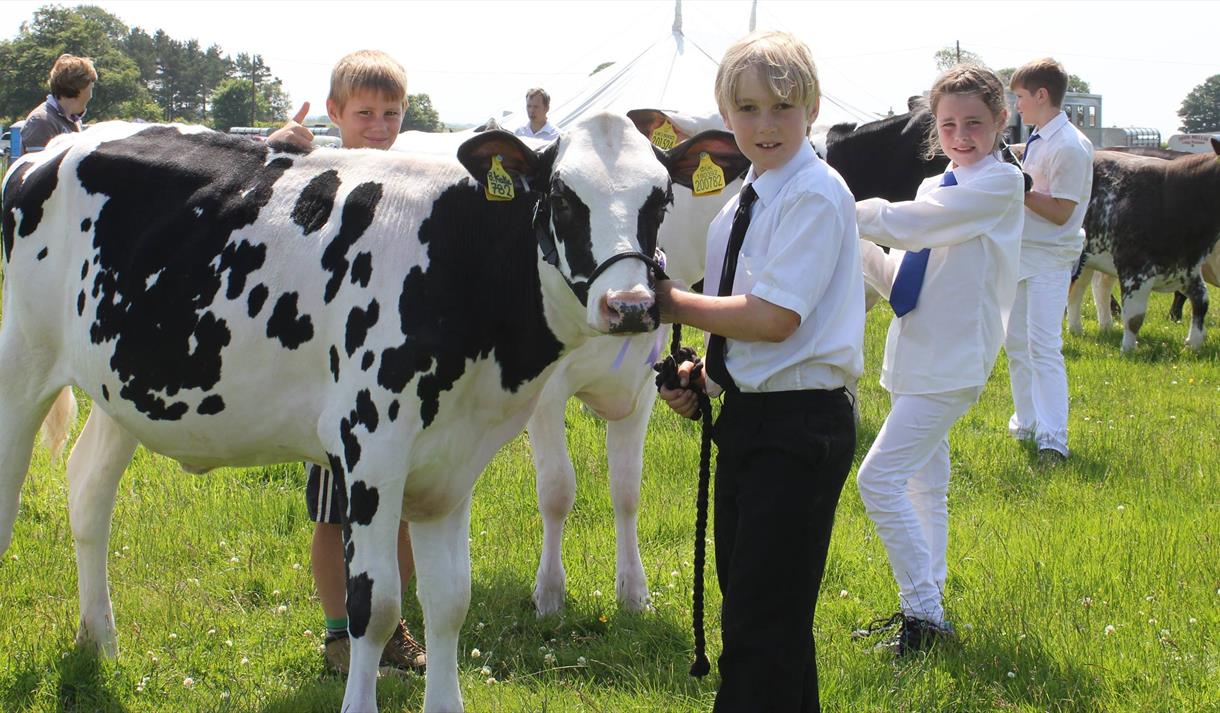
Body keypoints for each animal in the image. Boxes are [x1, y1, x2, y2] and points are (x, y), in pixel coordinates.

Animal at [0, 115, 722, 713]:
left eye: (661, 199)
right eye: (564, 197)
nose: (630, 306)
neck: (454, 260)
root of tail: (53, 148)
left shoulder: (454, 461)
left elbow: (449, 600)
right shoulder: (371, 447)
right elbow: (373, 604)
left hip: (122, 385)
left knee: (88, 491)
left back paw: (99, 639)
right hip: (22, 364)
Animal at [1068, 137, 1220, 351]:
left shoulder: (1187, 267)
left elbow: (1202, 302)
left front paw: (1194, 344)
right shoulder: (1134, 268)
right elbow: (1134, 316)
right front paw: (1128, 350)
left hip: (1086, 259)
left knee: (1081, 288)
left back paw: (1079, 329)